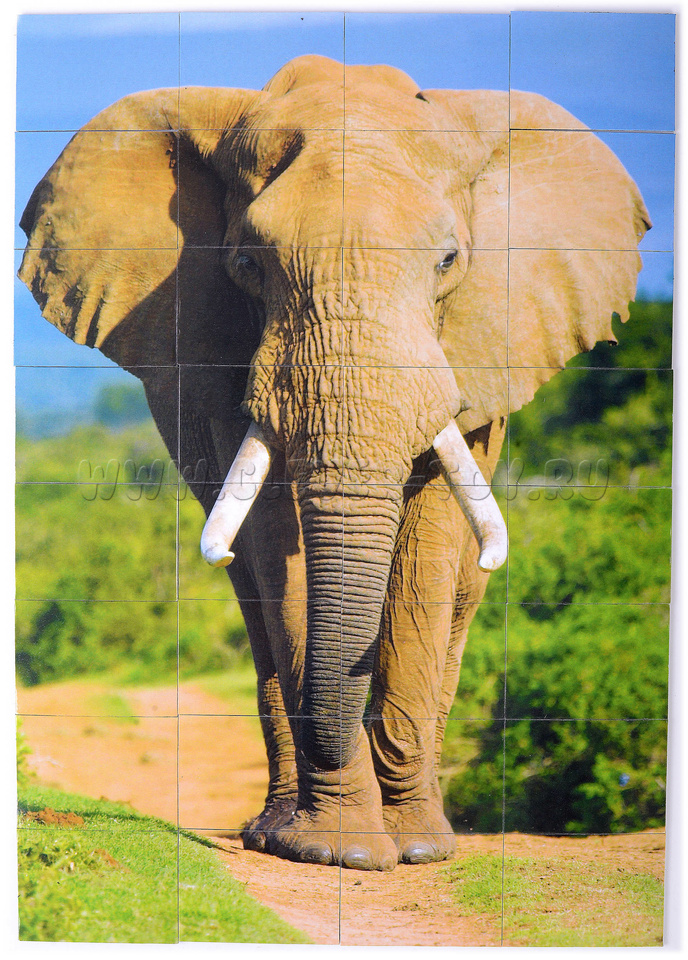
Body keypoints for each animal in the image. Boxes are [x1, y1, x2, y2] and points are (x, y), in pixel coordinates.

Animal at [19, 55, 649, 872]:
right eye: (247, 264)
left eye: (449, 261)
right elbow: (274, 547)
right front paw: (337, 851)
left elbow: (429, 546)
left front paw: (413, 849)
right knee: (254, 598)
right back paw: (274, 831)